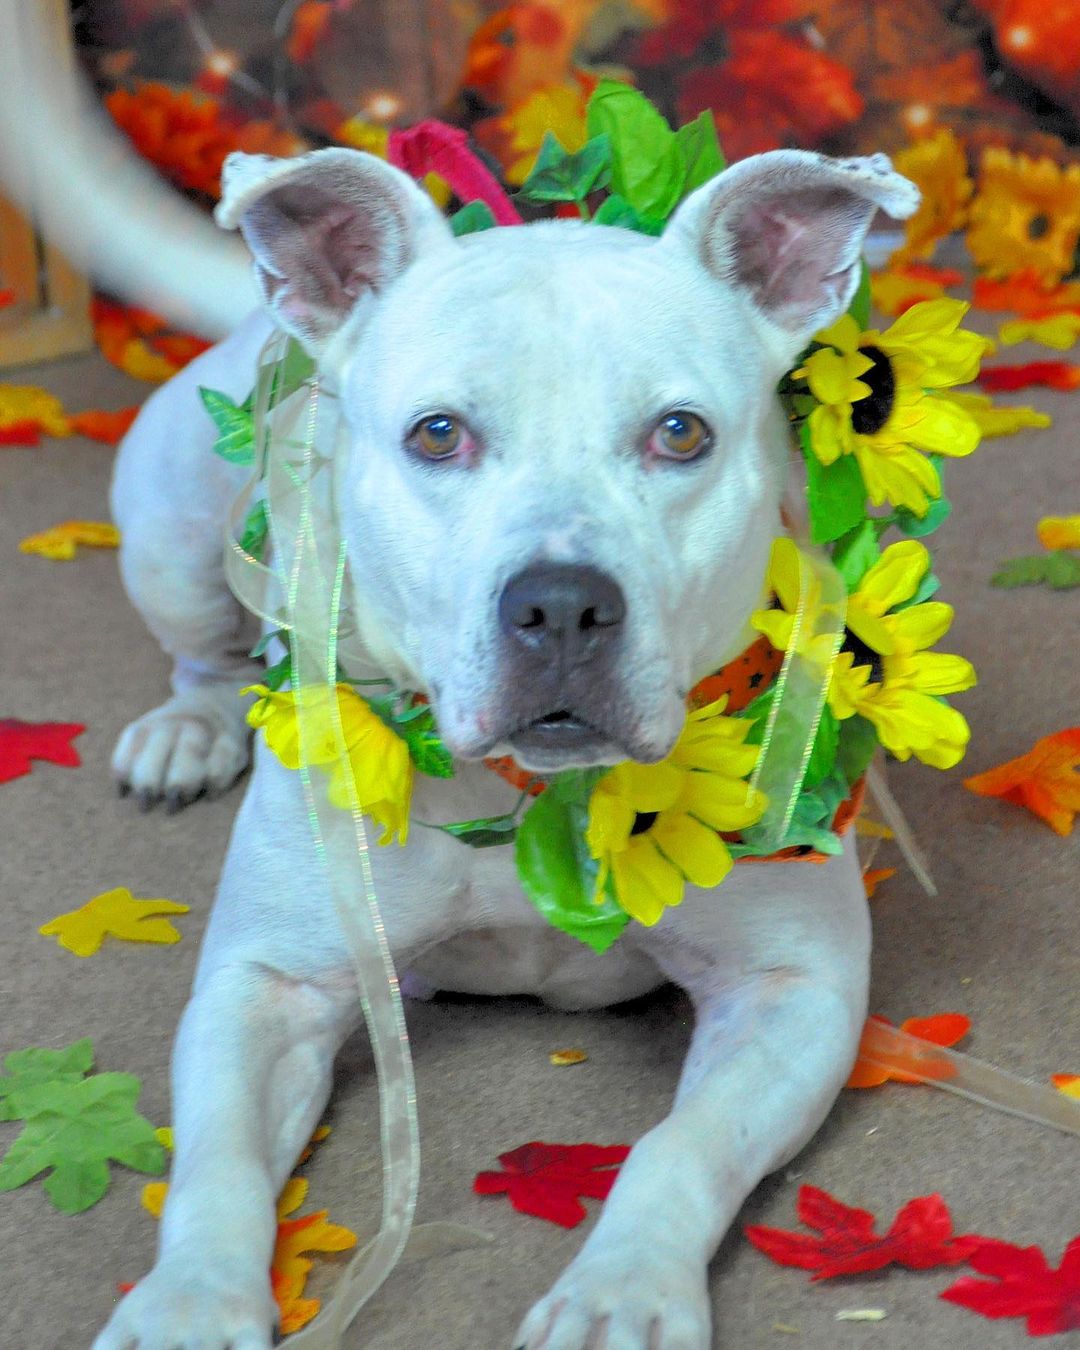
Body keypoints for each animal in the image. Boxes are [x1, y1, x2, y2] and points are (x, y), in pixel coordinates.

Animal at [84, 139, 918, 1350]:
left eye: (681, 433)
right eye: (438, 434)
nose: (562, 604)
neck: (536, 797)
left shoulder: (791, 988)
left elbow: (679, 1147)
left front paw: (622, 1291)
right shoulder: (268, 986)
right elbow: (218, 1168)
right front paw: (191, 1303)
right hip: (170, 527)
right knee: (202, 650)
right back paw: (188, 731)